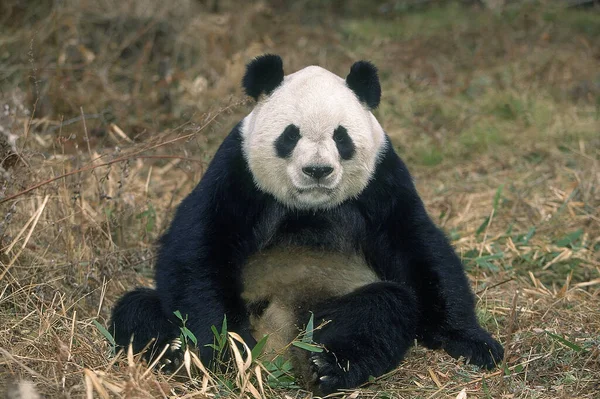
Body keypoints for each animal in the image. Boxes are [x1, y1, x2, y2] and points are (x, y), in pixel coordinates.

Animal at [110, 54, 504, 396]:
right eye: (290, 135)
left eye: (341, 137)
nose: (317, 170)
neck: (310, 206)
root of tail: (279, 342)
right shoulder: (236, 172)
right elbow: (198, 246)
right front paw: (224, 349)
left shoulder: (382, 180)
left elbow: (419, 248)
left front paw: (472, 342)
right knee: (137, 308)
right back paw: (174, 352)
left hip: (329, 303)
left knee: (384, 309)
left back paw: (329, 366)